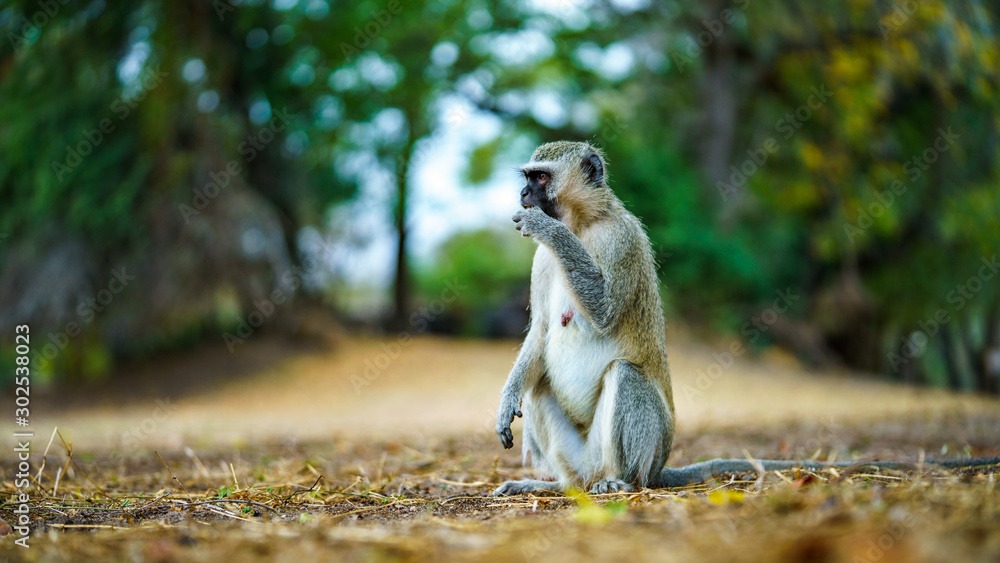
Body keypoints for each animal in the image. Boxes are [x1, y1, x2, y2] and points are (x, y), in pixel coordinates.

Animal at [493, 141, 999, 496]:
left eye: (540, 178)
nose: (522, 194)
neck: (582, 223)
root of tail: (656, 467)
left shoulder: (622, 240)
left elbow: (605, 311)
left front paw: (545, 227)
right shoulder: (541, 265)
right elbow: (541, 333)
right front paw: (506, 399)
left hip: (637, 451)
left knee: (625, 376)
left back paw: (621, 481)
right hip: (580, 457)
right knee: (541, 385)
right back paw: (556, 485)